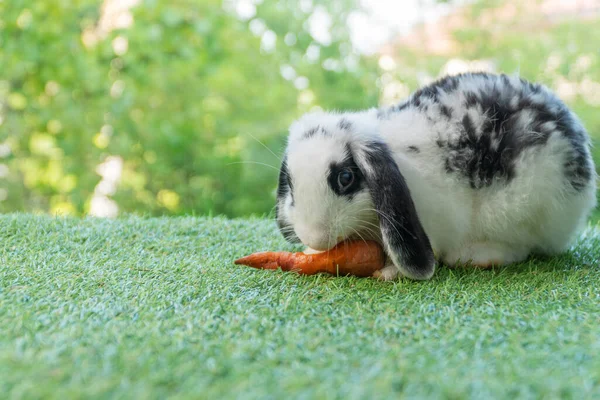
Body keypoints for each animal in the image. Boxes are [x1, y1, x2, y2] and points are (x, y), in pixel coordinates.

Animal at [276, 72, 596, 280]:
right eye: (290, 183)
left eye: (345, 178)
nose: (316, 238)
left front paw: (387, 273)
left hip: (524, 209)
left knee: (521, 248)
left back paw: (476, 256)